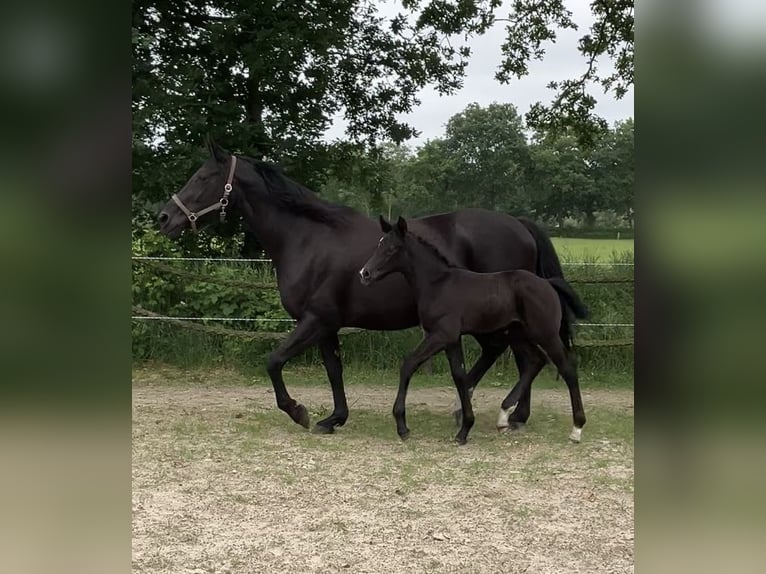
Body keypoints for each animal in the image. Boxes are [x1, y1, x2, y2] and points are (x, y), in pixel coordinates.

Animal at [364, 216, 592, 446]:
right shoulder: (451, 339)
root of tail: (547, 283)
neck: (437, 284)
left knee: (567, 367)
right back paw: (504, 416)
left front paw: (402, 427)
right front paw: (464, 429)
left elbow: (409, 364)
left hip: (545, 334)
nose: (365, 273)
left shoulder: (441, 334)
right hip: (518, 333)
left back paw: (576, 428)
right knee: (536, 361)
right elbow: (459, 375)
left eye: (392, 248)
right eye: (379, 244)